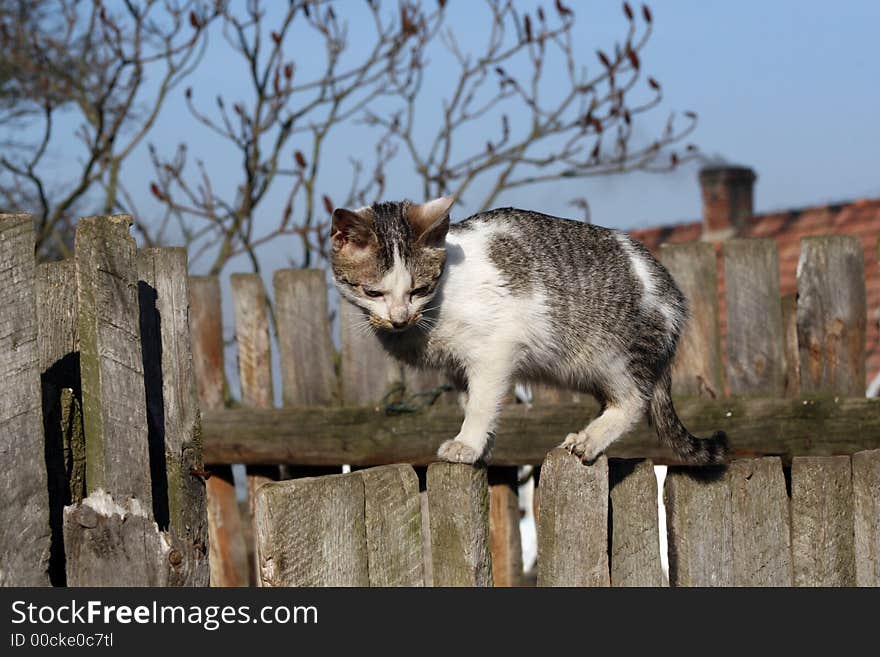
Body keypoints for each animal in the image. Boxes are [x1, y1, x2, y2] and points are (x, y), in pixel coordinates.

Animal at [330, 196, 728, 466]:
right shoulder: (458, 368)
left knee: (634, 401)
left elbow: (481, 403)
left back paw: (590, 438)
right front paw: (483, 444)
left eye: (419, 289)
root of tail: (672, 291)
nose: (399, 318)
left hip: (615, 356)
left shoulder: (495, 350)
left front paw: (467, 443)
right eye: (374, 293)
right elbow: (472, 401)